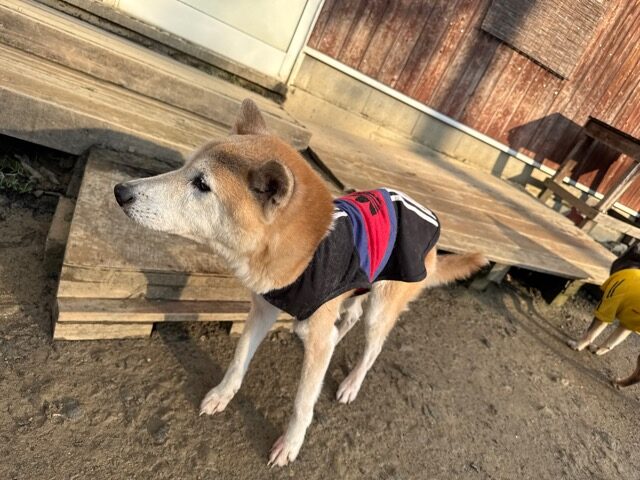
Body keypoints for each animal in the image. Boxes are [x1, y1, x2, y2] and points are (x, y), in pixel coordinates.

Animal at [113, 99, 487, 466]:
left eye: (202, 185)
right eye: (185, 166)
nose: (120, 191)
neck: (301, 251)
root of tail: (432, 224)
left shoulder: (314, 327)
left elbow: (302, 403)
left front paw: (290, 444)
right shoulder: (262, 310)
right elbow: (238, 360)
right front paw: (222, 395)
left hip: (381, 308)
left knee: (371, 348)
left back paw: (351, 384)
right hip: (360, 286)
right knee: (346, 321)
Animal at [567, 242, 640, 386]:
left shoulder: (607, 308)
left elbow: (590, 333)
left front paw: (577, 346)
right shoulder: (627, 325)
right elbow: (612, 342)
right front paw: (598, 350)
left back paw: (618, 382)